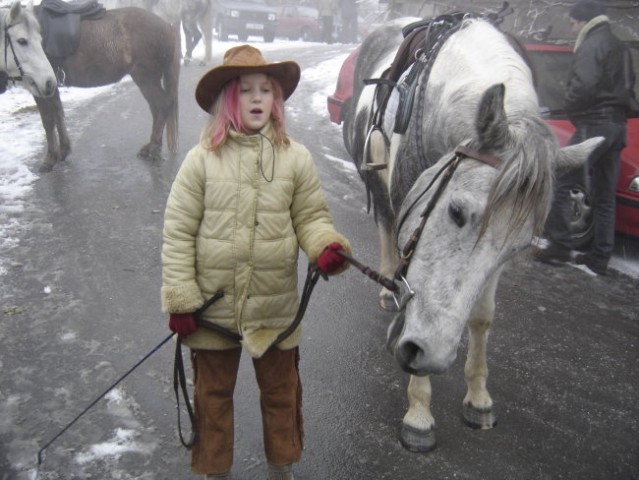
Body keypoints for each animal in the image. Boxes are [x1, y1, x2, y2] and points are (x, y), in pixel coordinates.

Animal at [35, 4, 180, 172]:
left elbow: (48, 120)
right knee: (156, 108)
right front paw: (63, 151)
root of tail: (168, 26)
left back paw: (154, 148)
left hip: (146, 79)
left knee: (162, 105)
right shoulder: (49, 88)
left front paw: (50, 158)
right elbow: (58, 116)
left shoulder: (39, 87)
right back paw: (151, 147)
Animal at [348, 14, 604, 450]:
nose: (426, 354)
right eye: (456, 211)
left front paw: (478, 397)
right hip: (378, 184)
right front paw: (419, 412)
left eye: (518, 247)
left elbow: (482, 316)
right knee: (385, 225)